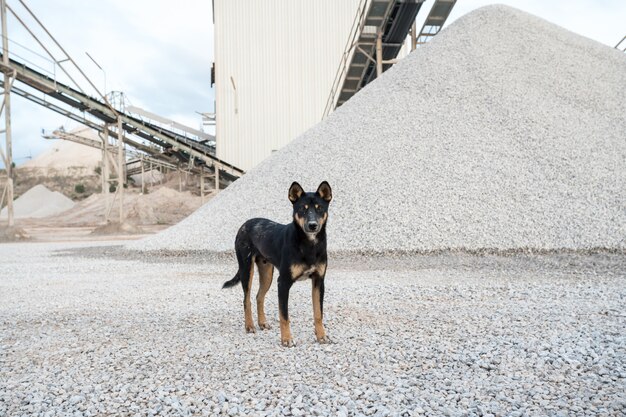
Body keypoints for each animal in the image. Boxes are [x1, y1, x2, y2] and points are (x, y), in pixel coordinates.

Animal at [223, 180, 334, 346]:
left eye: (319, 208)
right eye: (302, 209)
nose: (312, 225)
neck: (308, 245)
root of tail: (246, 223)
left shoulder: (319, 281)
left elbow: (318, 313)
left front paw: (321, 336)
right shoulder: (283, 282)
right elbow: (284, 316)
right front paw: (287, 339)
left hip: (267, 273)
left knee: (259, 296)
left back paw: (262, 323)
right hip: (246, 269)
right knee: (246, 300)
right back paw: (249, 326)